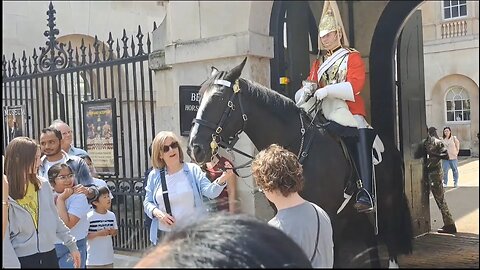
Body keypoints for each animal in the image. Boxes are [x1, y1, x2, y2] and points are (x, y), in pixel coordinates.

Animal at [188, 58, 412, 266]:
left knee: (390, 237)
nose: (194, 148)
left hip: (387, 201)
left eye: (218, 98)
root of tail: (393, 148)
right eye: (200, 96)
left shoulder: (330, 215)